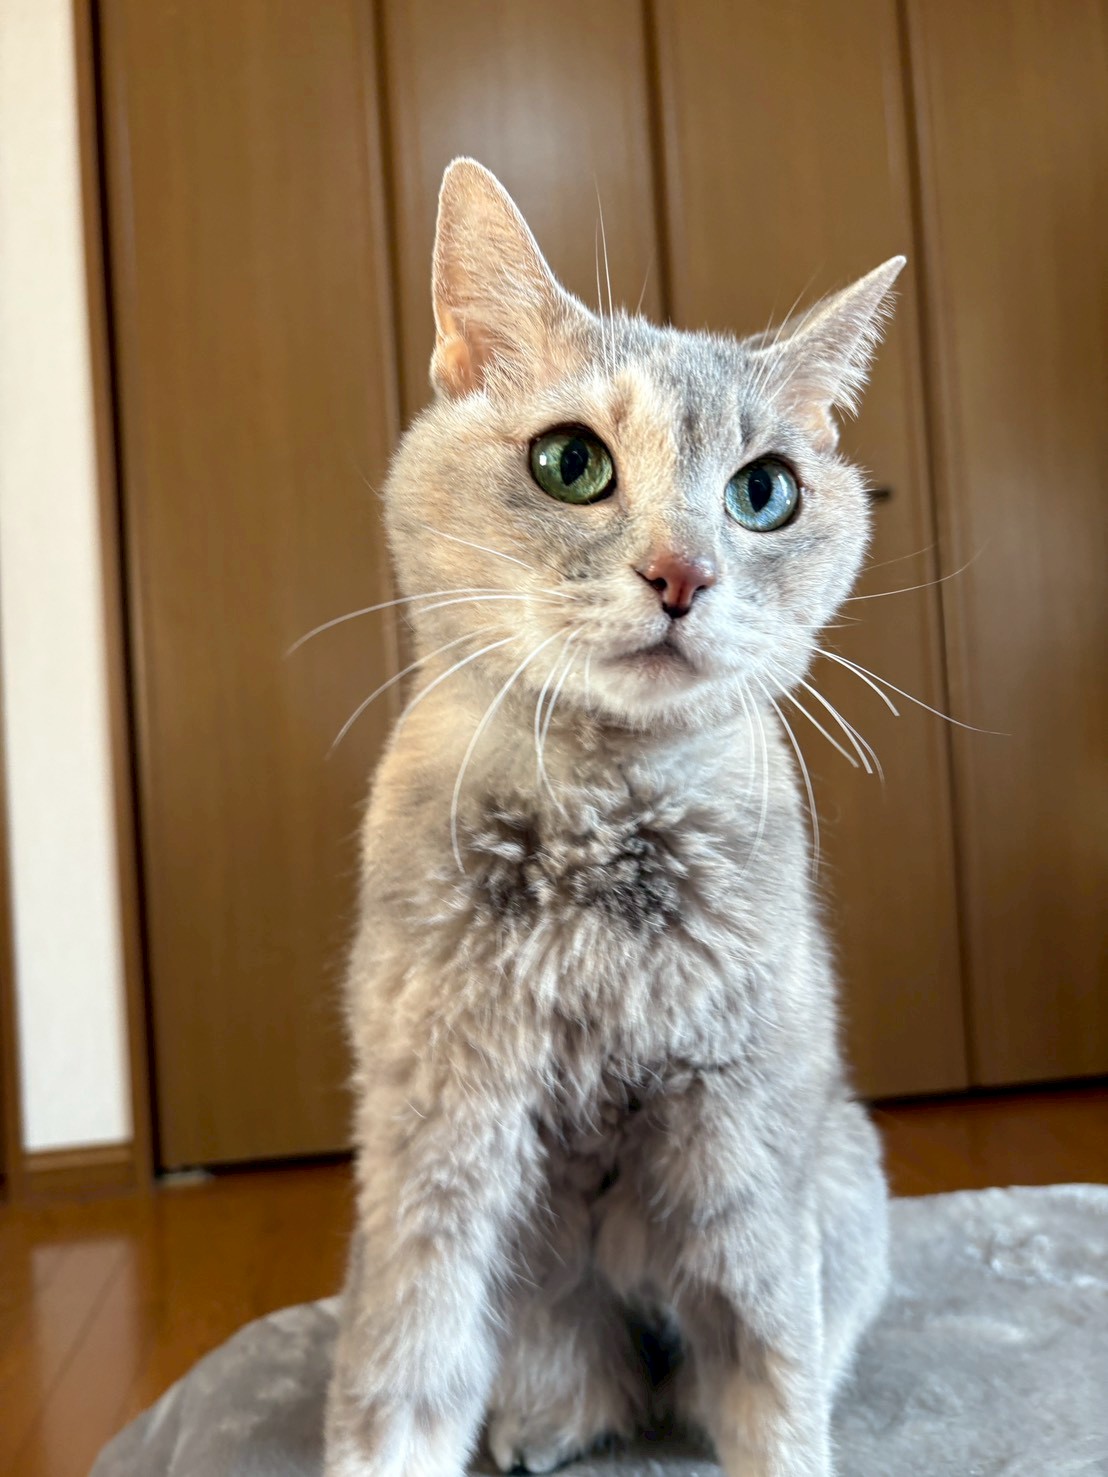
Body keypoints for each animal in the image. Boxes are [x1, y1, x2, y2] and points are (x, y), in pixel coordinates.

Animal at [324, 158, 904, 1477]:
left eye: (764, 491)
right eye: (569, 464)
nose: (684, 575)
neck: (601, 822)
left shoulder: (746, 1152)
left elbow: (774, 1386)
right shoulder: (434, 1147)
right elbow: (398, 1388)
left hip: (842, 1181)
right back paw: (543, 1425)